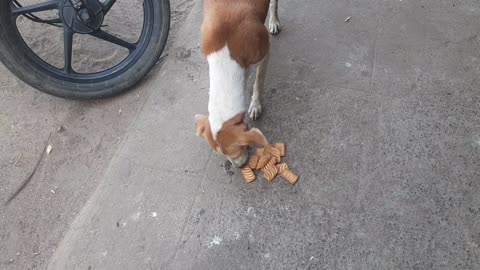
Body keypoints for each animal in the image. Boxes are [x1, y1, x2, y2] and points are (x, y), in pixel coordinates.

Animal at [194, 0, 280, 168]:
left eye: (237, 150)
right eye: (222, 155)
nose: (239, 167)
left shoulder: (264, 53)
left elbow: (259, 81)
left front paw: (255, 104)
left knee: (274, 4)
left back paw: (274, 21)